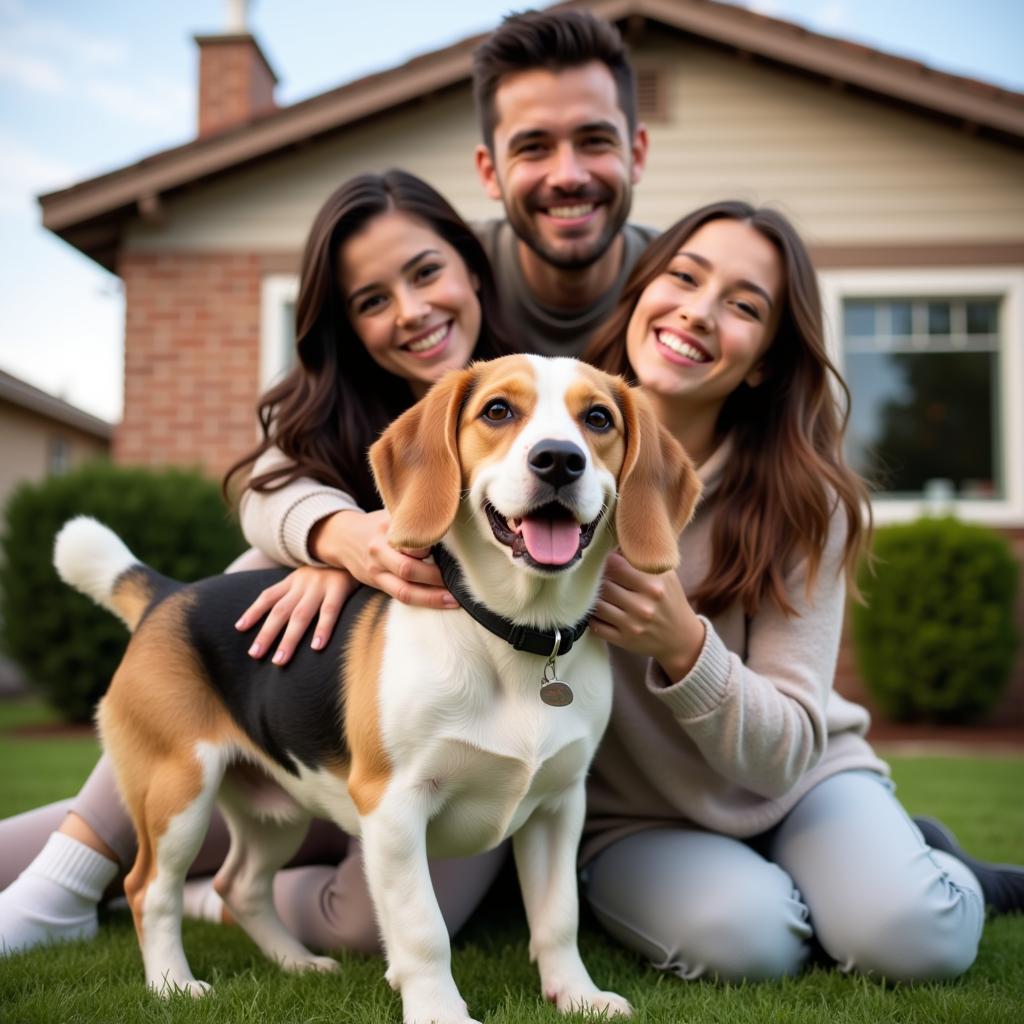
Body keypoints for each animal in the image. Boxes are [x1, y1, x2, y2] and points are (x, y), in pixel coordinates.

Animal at [54, 356, 696, 1019]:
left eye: (598, 419)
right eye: (497, 411)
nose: (559, 459)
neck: (515, 637)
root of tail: (166, 593)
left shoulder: (558, 805)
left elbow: (558, 916)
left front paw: (576, 995)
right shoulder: (393, 806)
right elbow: (422, 928)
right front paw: (439, 1010)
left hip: (272, 811)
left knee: (242, 885)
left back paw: (297, 963)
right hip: (177, 789)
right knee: (149, 887)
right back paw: (172, 984)